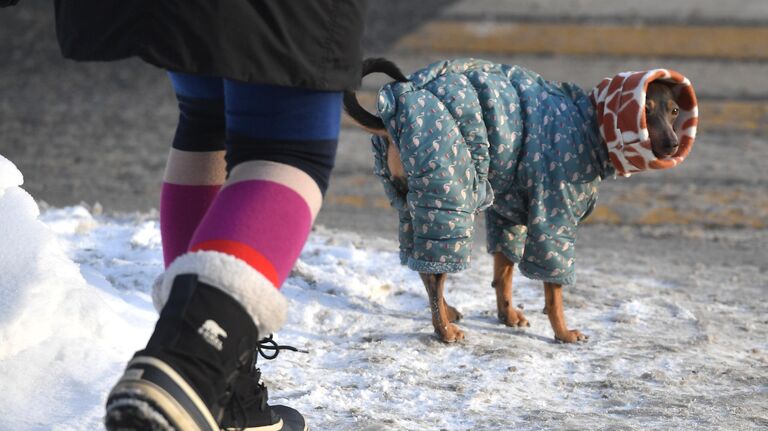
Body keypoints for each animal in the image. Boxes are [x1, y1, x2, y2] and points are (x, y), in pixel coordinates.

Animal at [342, 59, 696, 346]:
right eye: (645, 109)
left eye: (674, 111)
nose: (672, 144)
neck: (588, 125)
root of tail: (393, 113)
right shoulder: (553, 219)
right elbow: (553, 291)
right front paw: (563, 332)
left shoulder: (509, 214)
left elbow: (504, 272)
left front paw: (507, 315)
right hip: (451, 198)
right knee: (435, 272)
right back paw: (443, 330)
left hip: (414, 204)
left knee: (423, 265)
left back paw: (447, 310)